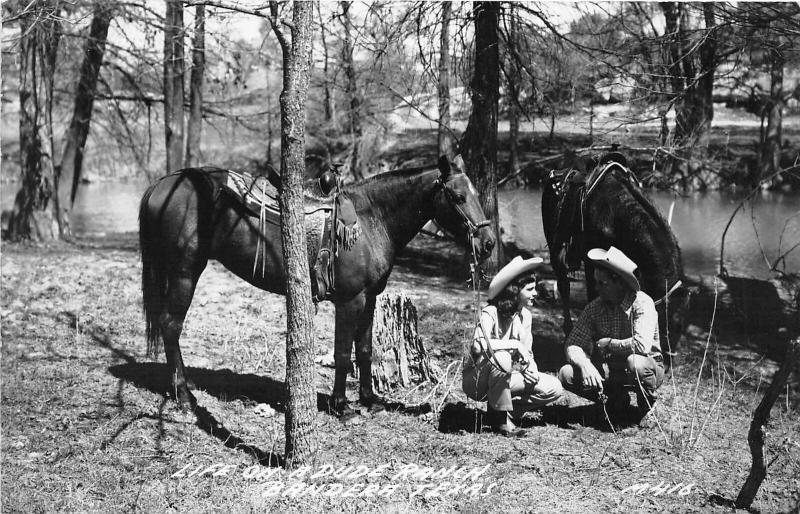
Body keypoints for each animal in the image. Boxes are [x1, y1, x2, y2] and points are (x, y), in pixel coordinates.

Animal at [141, 154, 496, 414]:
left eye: (477, 194)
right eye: (457, 196)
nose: (488, 243)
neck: (371, 219)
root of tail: (163, 183)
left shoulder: (370, 299)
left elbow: (364, 350)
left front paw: (369, 400)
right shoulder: (350, 300)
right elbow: (342, 353)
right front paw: (341, 406)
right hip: (185, 272)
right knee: (171, 326)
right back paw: (184, 396)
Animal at [540, 148, 692, 364]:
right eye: (673, 324)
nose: (669, 361)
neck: (615, 215)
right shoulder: (592, 261)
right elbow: (594, 296)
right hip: (556, 252)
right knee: (564, 287)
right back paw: (567, 331)